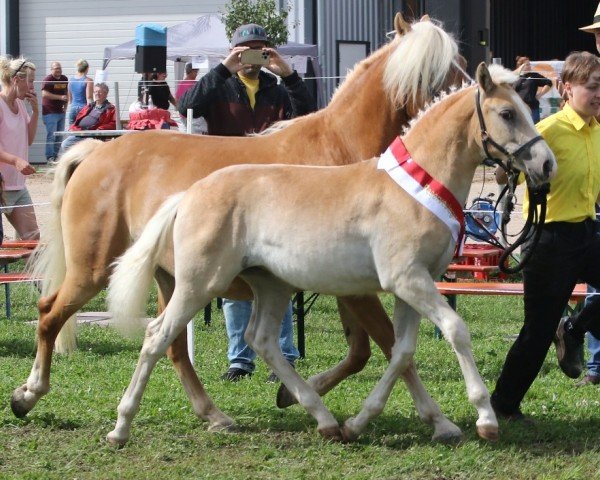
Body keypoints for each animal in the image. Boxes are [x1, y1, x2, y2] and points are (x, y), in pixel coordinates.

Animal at [11, 13, 466, 438]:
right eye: (431, 71)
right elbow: (390, 348)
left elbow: (363, 352)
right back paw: (28, 395)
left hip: (171, 281)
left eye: (459, 64)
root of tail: (94, 153)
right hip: (95, 269)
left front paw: (295, 394)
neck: (340, 152)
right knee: (50, 314)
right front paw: (436, 419)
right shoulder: (359, 287)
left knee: (173, 346)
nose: (461, 100)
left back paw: (213, 414)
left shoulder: (348, 285)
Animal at [104, 63, 556, 446]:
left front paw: (368, 422)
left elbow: (402, 352)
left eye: (526, 109)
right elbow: (455, 330)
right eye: (507, 113)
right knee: (157, 336)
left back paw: (323, 419)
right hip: (200, 283)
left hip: (271, 285)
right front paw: (485, 419)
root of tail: (190, 193)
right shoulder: (406, 279)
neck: (418, 185)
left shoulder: (414, 284)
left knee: (261, 340)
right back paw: (121, 428)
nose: (546, 164)